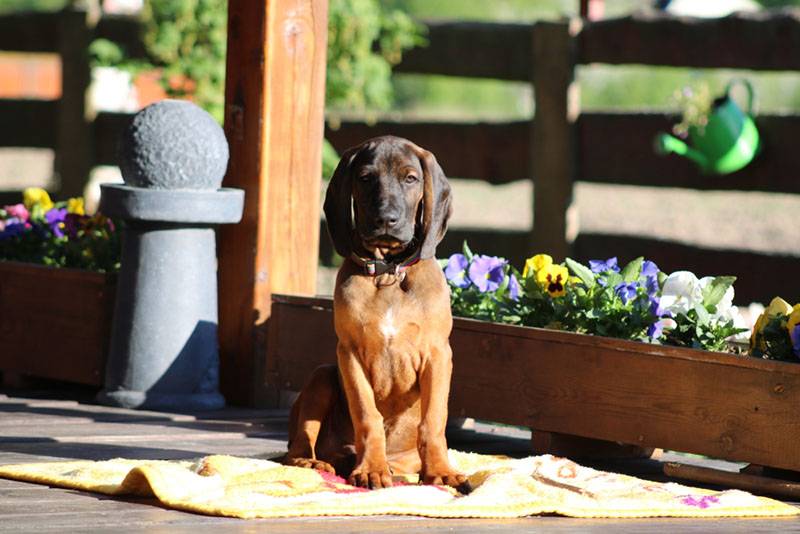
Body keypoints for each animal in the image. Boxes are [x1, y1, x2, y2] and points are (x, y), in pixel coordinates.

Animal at [284, 136, 466, 492]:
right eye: (365, 178)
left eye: (411, 178)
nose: (386, 219)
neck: (388, 273)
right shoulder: (350, 354)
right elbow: (368, 415)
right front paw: (371, 469)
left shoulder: (439, 354)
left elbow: (434, 420)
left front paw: (440, 470)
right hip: (321, 376)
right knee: (297, 445)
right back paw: (317, 462)